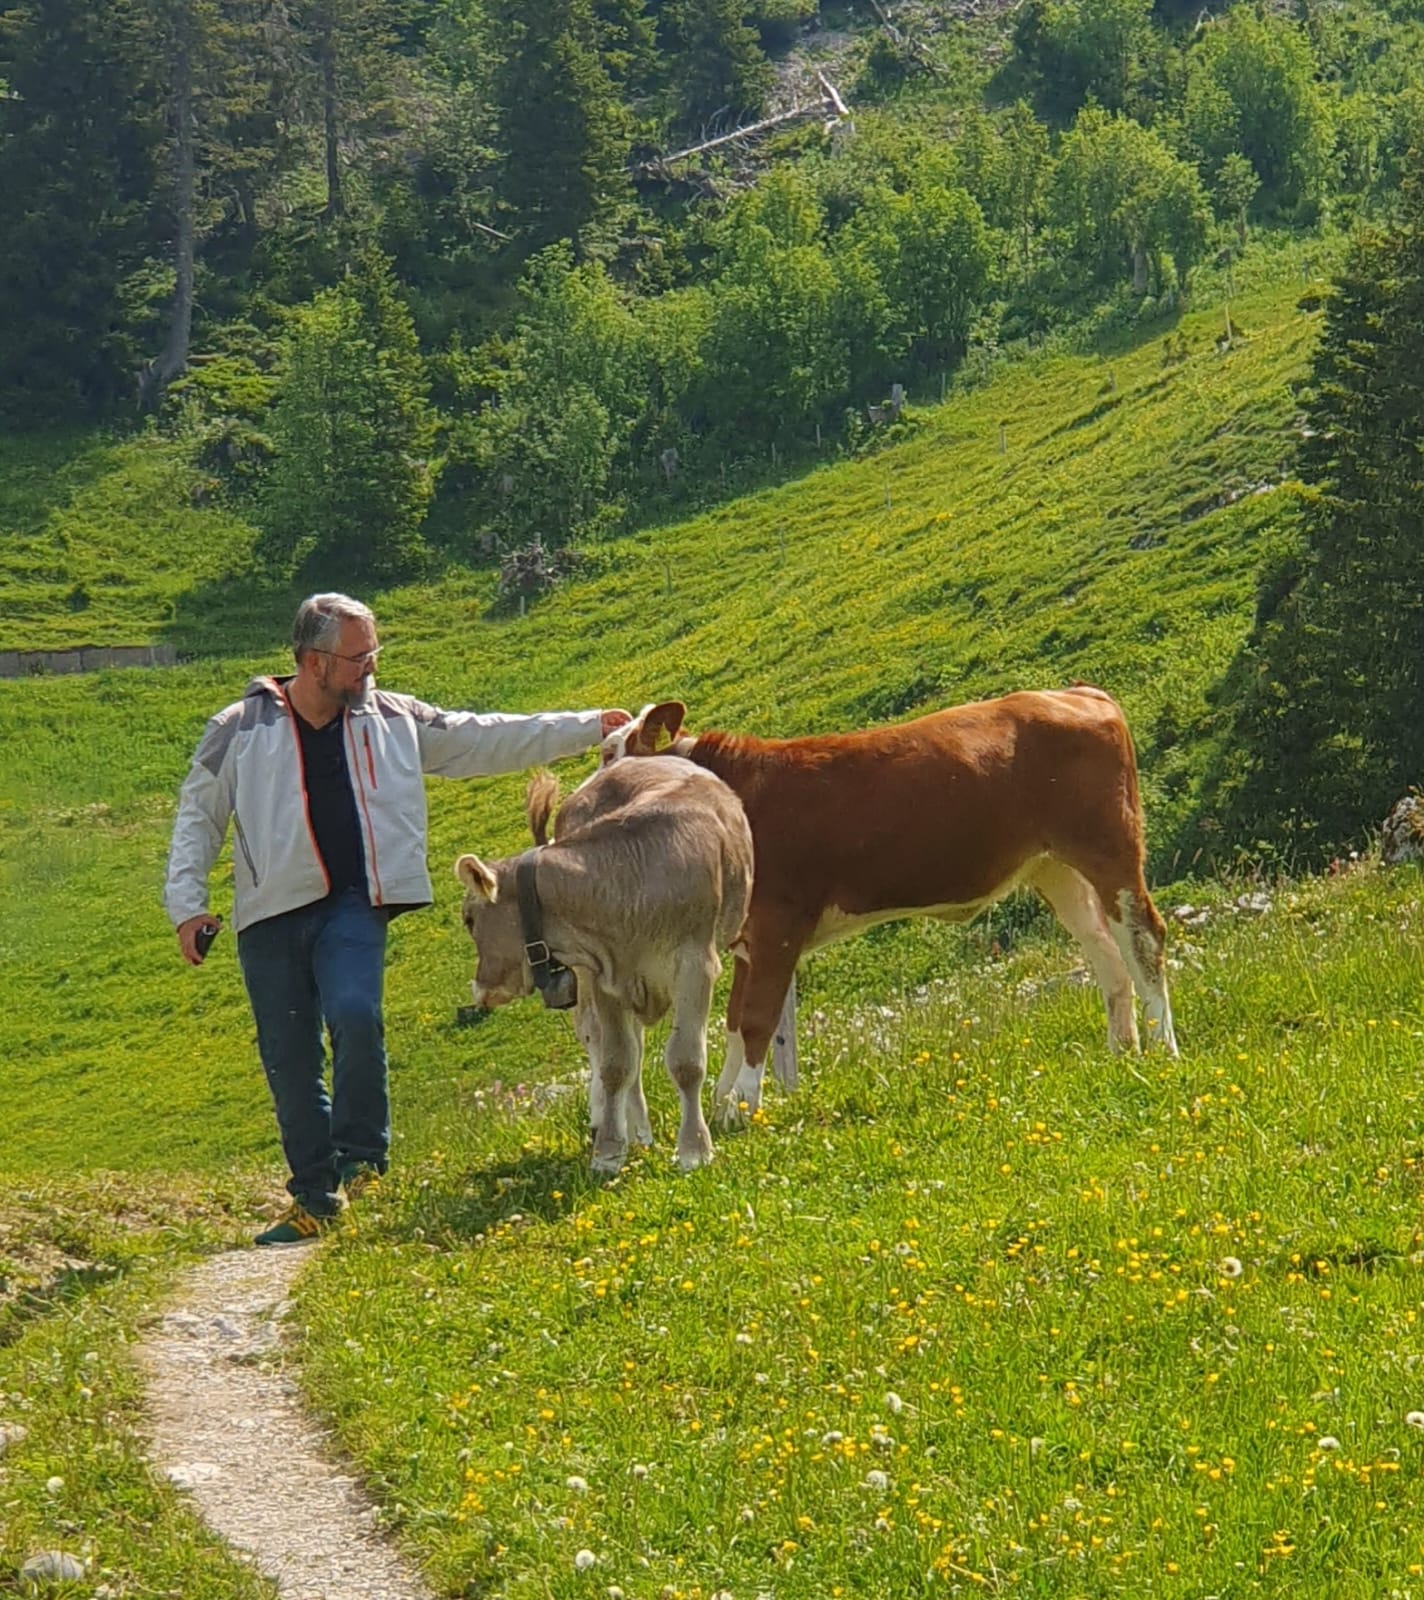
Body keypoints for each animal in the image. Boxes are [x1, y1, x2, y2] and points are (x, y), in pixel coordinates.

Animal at [454, 756, 753, 1174]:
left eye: (469, 919)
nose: (479, 988)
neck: (630, 881)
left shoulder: (696, 965)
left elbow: (686, 1061)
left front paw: (694, 1149)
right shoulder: (602, 975)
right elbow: (616, 1064)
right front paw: (609, 1152)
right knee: (620, 1048)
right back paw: (636, 1131)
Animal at [602, 687, 1179, 1123]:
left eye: (614, 757)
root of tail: (1077, 694)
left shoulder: (779, 924)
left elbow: (758, 1019)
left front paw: (742, 1108)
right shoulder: (749, 938)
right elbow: (734, 1021)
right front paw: (726, 1103)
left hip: (1109, 847)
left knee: (1144, 937)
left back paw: (1164, 1048)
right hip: (1054, 868)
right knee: (1105, 950)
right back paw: (1122, 1048)